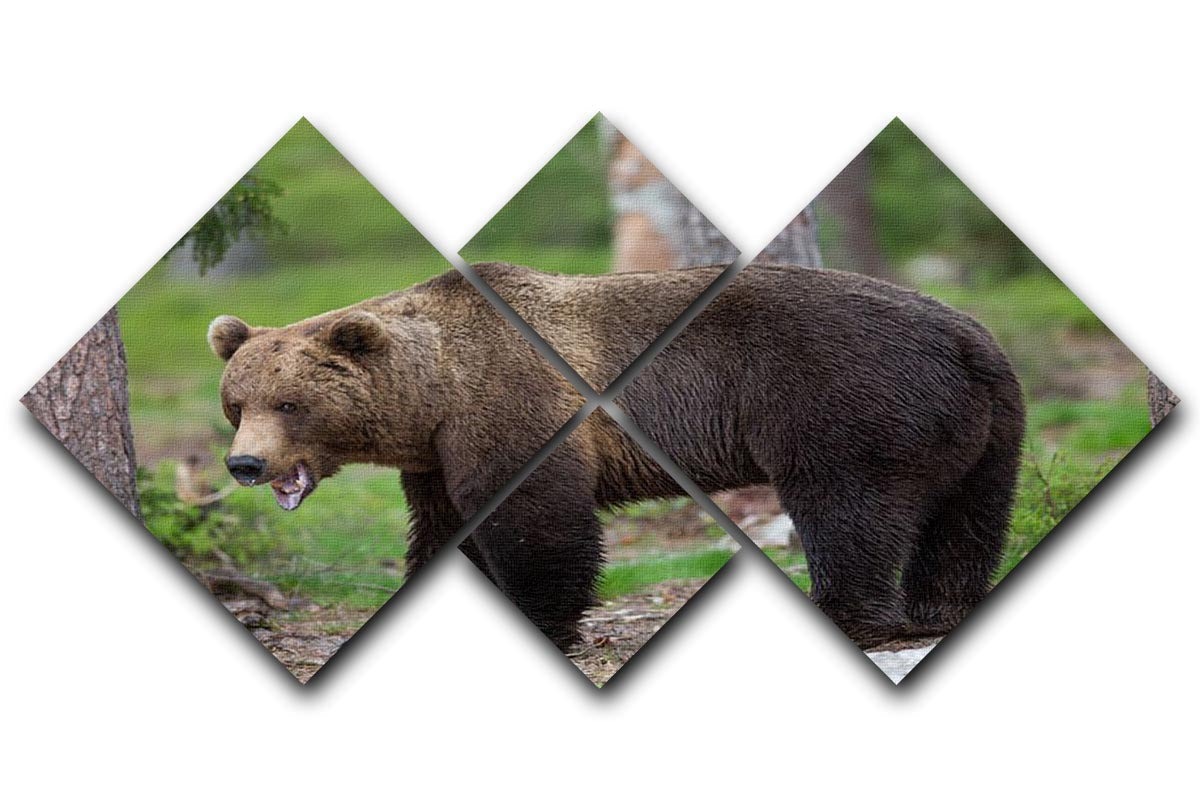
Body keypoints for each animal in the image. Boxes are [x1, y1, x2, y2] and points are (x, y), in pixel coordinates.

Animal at [210, 262, 1025, 651]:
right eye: (237, 402)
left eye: (289, 403)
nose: (244, 465)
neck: (434, 392)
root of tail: (968, 336)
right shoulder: (437, 456)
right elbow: (443, 532)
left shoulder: (511, 408)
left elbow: (539, 524)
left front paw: (544, 620)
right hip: (986, 428)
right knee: (967, 517)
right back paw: (941, 606)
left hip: (844, 400)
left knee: (849, 509)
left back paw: (853, 613)